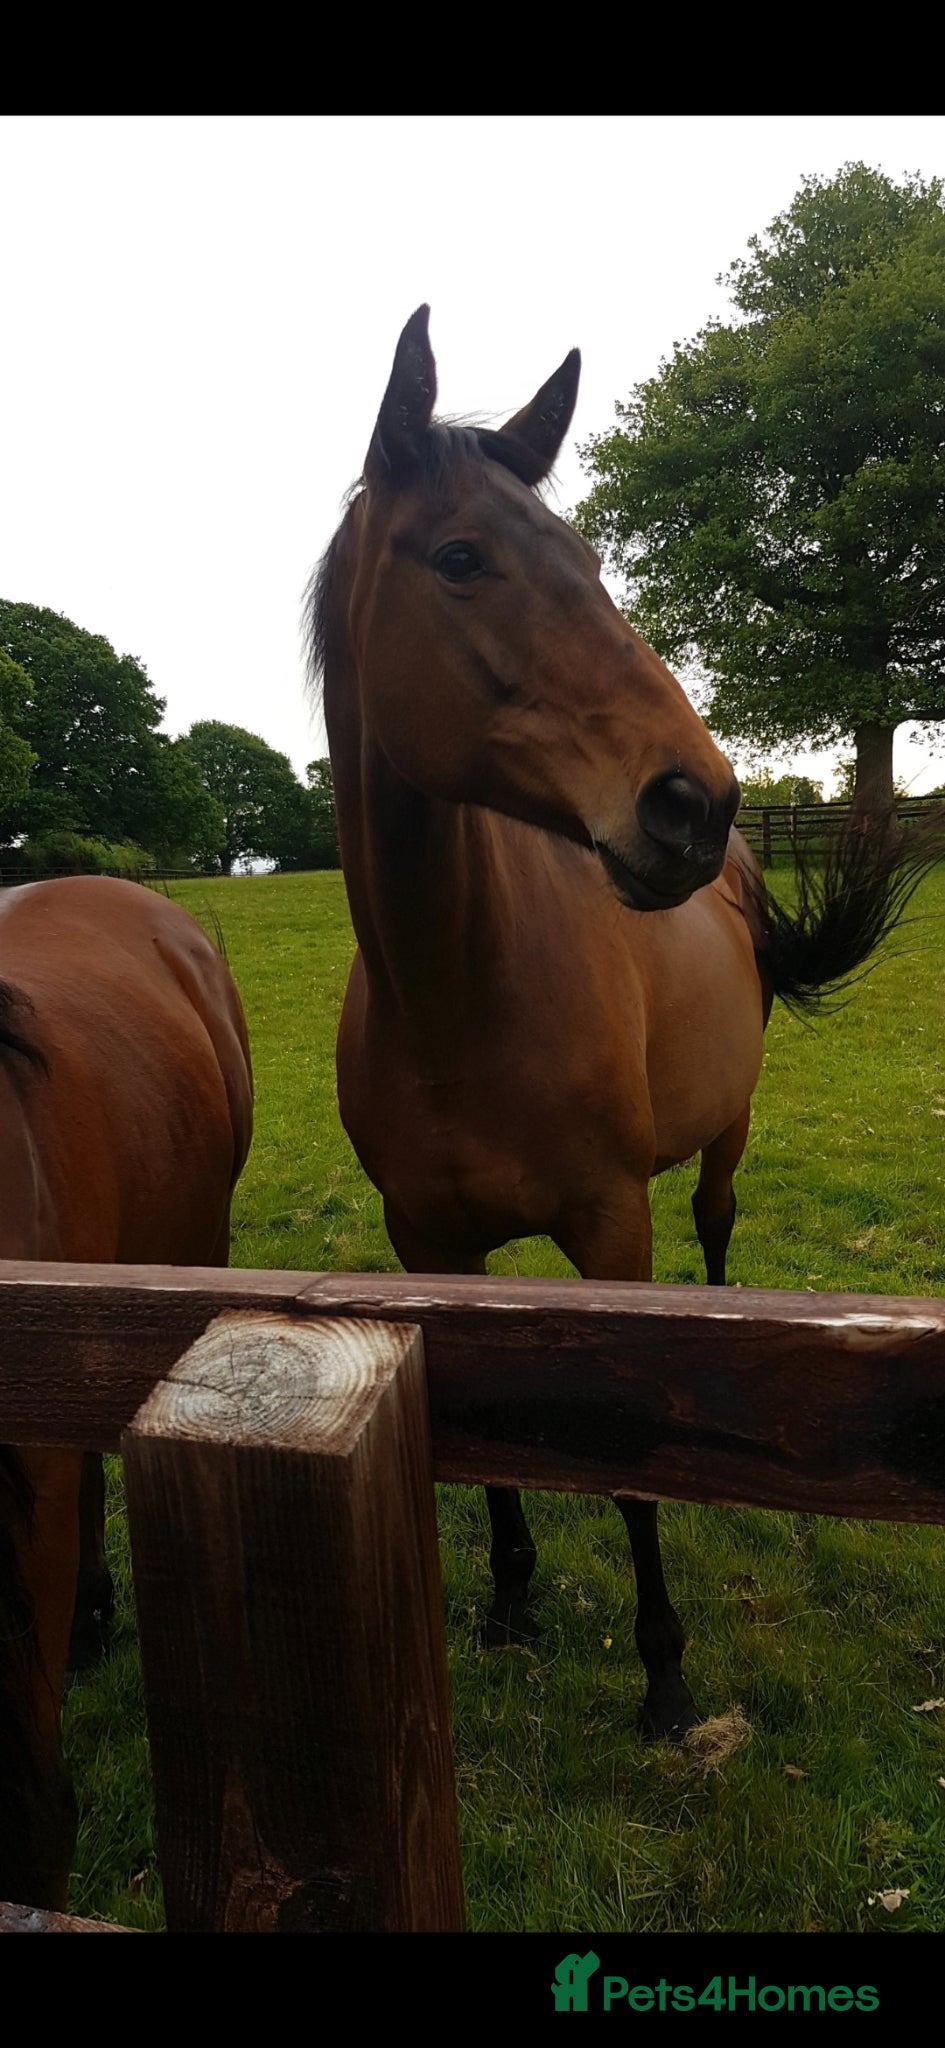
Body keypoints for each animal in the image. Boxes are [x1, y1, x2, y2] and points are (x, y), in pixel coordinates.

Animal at [308, 305, 937, 1741]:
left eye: (593, 562)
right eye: (461, 557)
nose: (693, 801)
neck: (457, 997)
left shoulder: (608, 1228)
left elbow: (637, 1458)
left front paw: (661, 1667)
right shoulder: (426, 1245)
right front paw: (508, 1598)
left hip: (719, 1147)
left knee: (713, 1235)